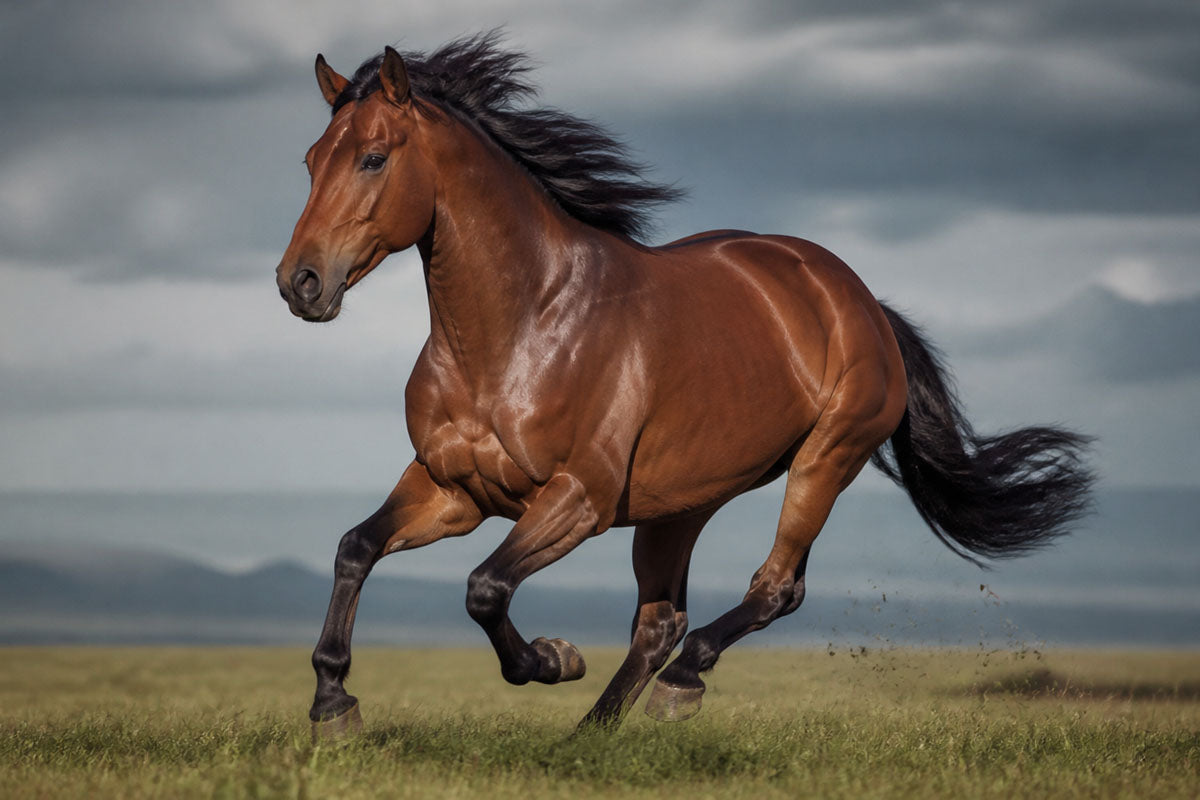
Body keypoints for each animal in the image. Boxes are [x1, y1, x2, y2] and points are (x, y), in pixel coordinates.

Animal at [276, 34, 1093, 738]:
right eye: (311, 160)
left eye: (374, 158)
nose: (299, 283)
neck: (521, 330)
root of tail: (857, 299)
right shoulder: (454, 490)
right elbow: (356, 548)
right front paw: (333, 703)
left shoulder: (578, 499)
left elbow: (485, 588)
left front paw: (553, 659)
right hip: (681, 504)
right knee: (660, 620)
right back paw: (592, 736)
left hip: (824, 461)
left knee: (773, 589)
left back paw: (678, 688)